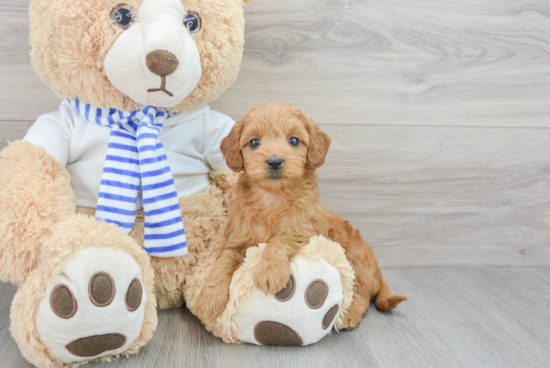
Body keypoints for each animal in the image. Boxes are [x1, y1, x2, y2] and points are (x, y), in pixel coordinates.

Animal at [196, 103, 408, 328]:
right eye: (254, 142)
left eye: (294, 140)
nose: (274, 161)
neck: (272, 199)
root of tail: (377, 269)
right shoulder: (237, 240)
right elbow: (222, 264)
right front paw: (208, 298)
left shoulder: (303, 231)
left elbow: (279, 240)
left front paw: (270, 271)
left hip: (356, 262)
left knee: (362, 293)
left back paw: (350, 313)